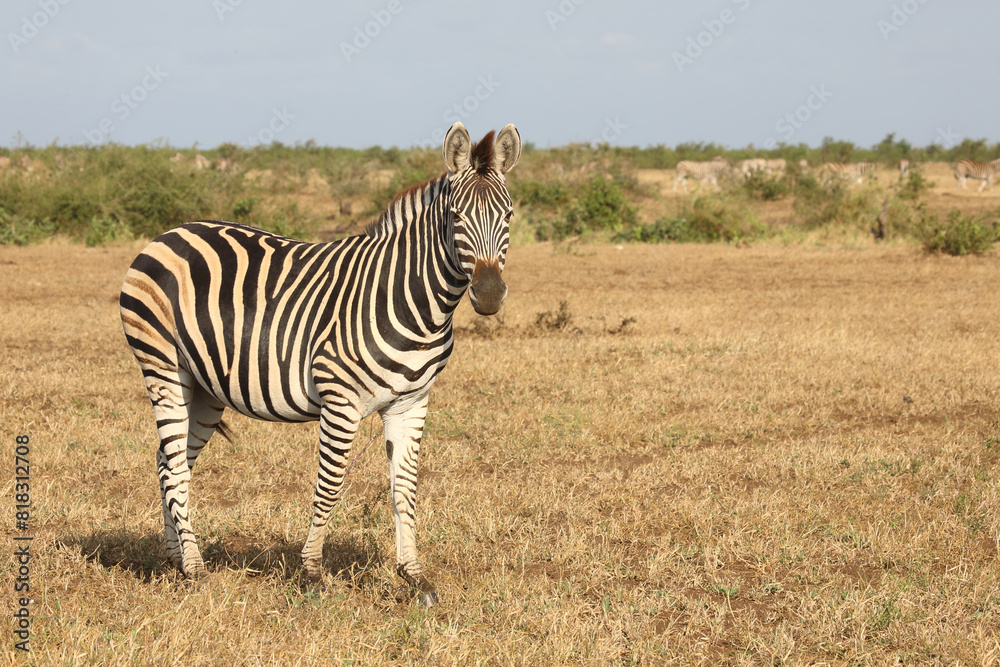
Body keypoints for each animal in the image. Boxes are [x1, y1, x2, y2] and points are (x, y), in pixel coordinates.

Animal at [119, 122, 521, 607]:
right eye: (456, 218)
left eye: (509, 216)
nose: (490, 294)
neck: (416, 303)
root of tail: (170, 233)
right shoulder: (340, 400)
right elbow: (329, 488)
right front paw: (311, 573)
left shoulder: (411, 403)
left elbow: (405, 488)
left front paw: (414, 576)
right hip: (163, 367)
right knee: (175, 465)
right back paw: (196, 570)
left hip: (204, 387)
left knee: (167, 460)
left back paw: (174, 559)